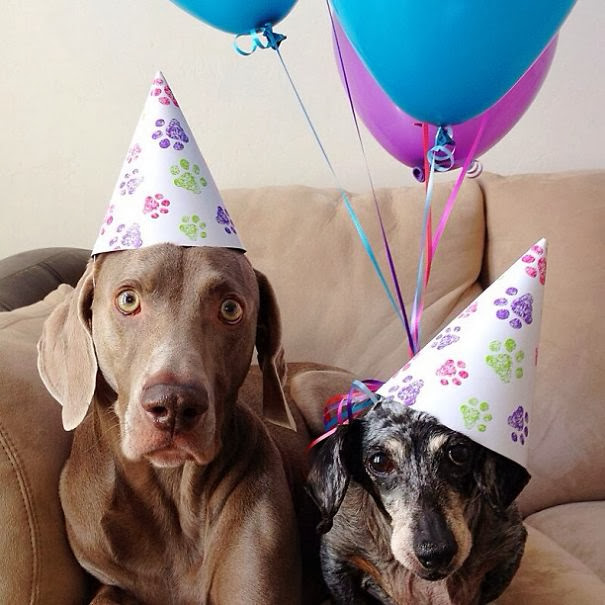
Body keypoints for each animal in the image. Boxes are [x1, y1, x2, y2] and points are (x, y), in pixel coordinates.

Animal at [37, 244, 354, 604]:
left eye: (230, 308)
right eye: (128, 300)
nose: (174, 405)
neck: (171, 490)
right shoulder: (108, 578)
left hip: (310, 388)